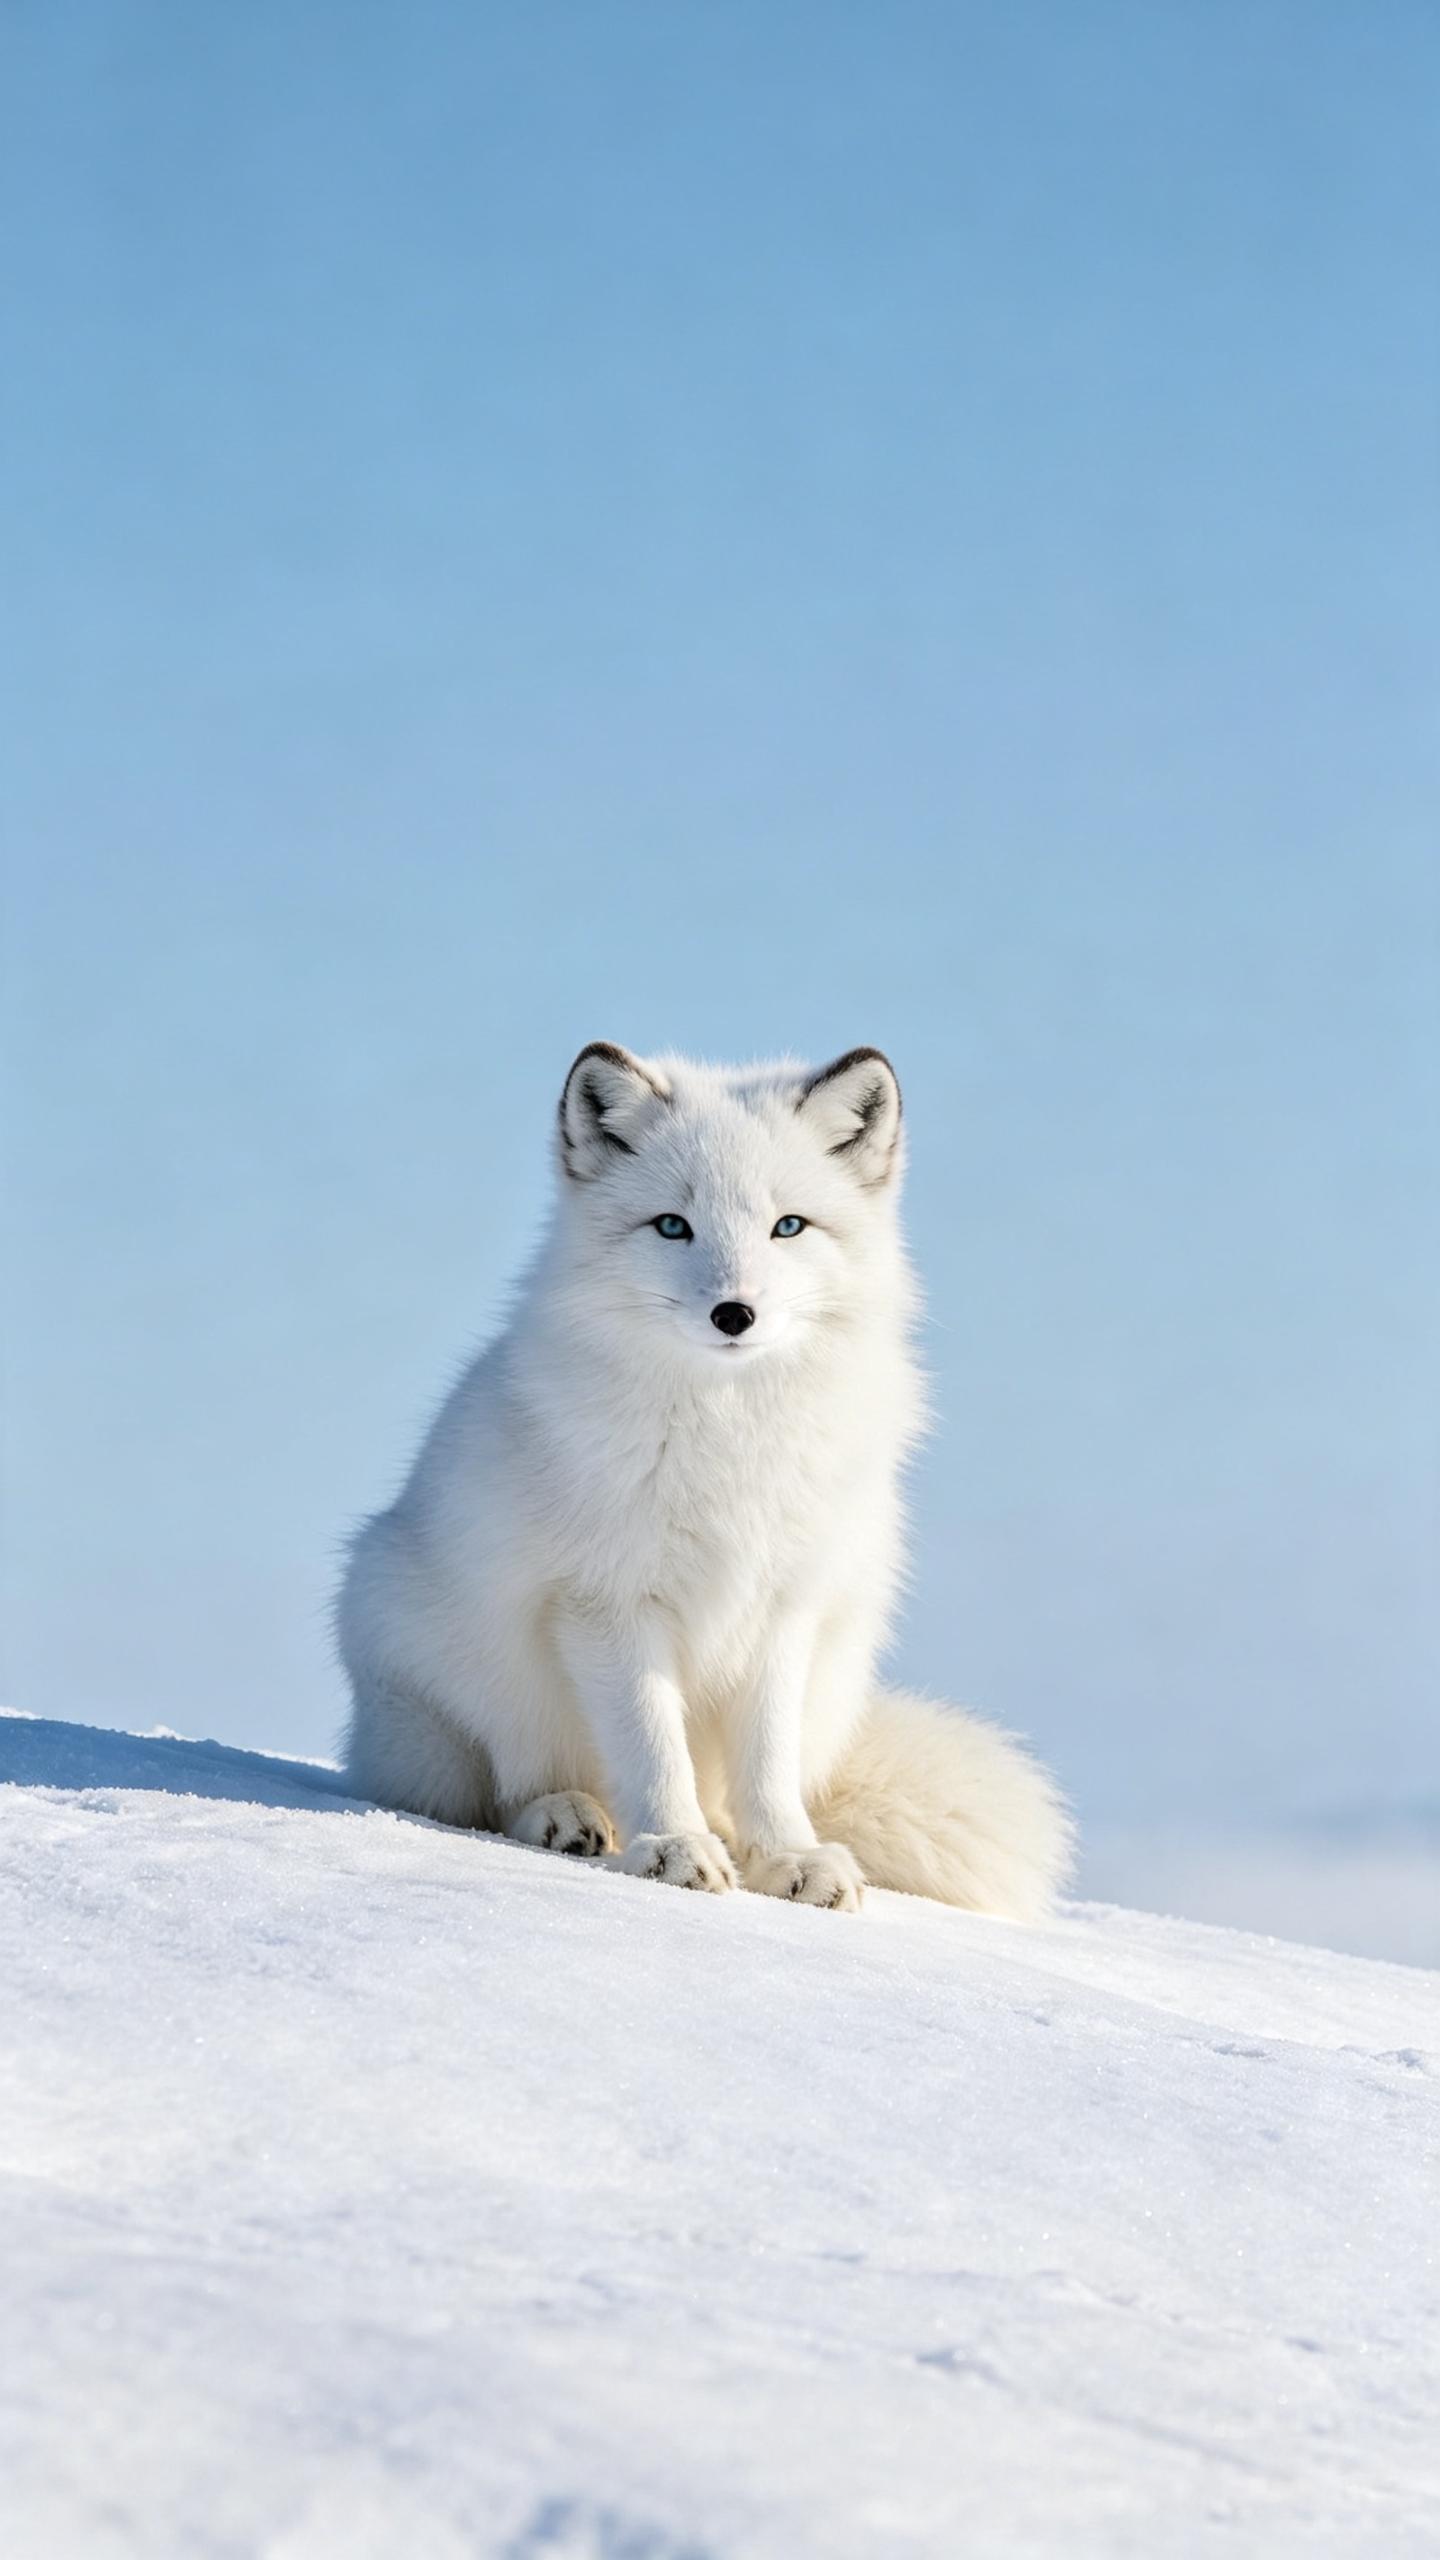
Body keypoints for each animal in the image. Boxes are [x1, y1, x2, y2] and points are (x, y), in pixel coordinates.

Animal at [338, 1043, 1072, 1915]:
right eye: (672, 1225)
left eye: (788, 1225)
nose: (734, 1313)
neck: (729, 1432)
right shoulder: (607, 1603)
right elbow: (653, 1747)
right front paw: (671, 1847)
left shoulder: (782, 1610)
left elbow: (767, 1764)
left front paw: (786, 1857)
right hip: (445, 1687)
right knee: (500, 1791)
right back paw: (568, 1817)